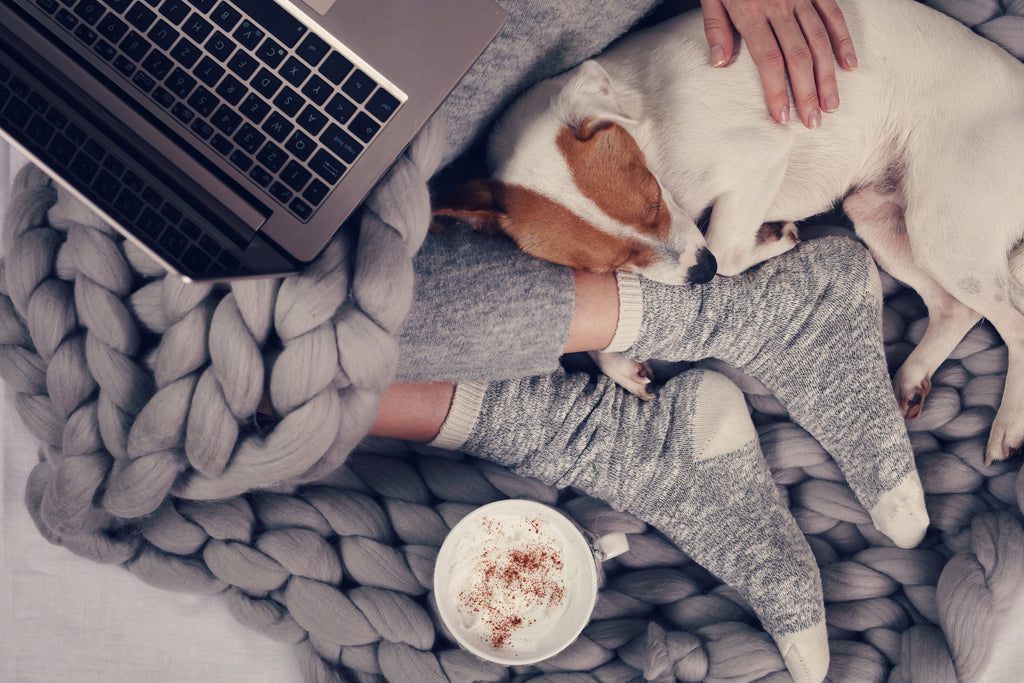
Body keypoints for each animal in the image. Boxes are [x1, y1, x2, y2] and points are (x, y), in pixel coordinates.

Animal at [432, 0, 1024, 466]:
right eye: (607, 263)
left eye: (652, 196)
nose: (701, 274)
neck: (650, 133)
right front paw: (620, 365)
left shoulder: (757, 162)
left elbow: (725, 246)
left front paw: (770, 240)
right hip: (881, 218)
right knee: (957, 311)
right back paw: (914, 376)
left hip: (942, 231)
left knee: (1012, 322)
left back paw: (1006, 424)